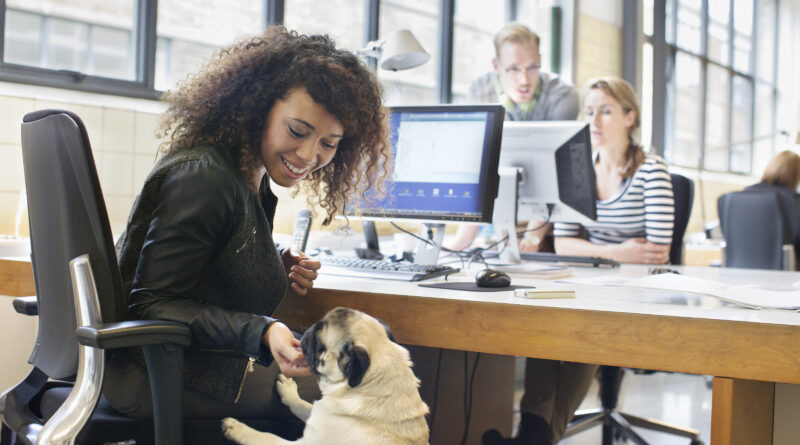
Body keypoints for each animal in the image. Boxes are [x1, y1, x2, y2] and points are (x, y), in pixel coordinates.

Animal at [219, 306, 432, 444]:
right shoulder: (320, 415)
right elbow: (302, 405)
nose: (309, 330)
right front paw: (290, 393)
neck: (370, 388)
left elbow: (267, 437)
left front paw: (239, 429)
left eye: (319, 344)